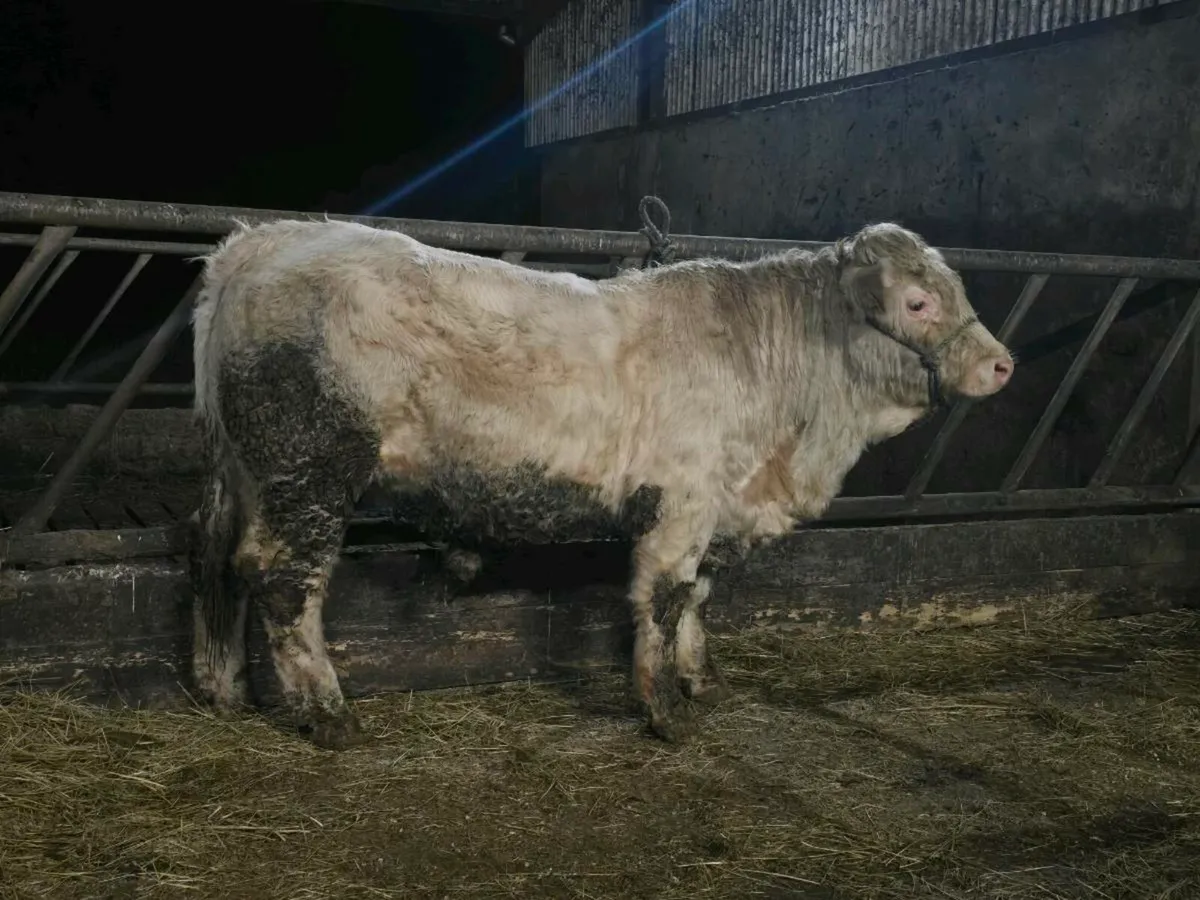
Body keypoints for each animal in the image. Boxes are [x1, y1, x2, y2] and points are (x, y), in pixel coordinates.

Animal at [189, 218, 1014, 750]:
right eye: (917, 302)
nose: (1001, 363)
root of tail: (258, 243)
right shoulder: (681, 502)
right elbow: (665, 597)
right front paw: (664, 711)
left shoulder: (716, 508)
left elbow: (698, 599)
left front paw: (700, 680)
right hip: (310, 471)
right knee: (283, 582)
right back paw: (328, 714)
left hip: (244, 474)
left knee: (217, 563)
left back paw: (223, 690)